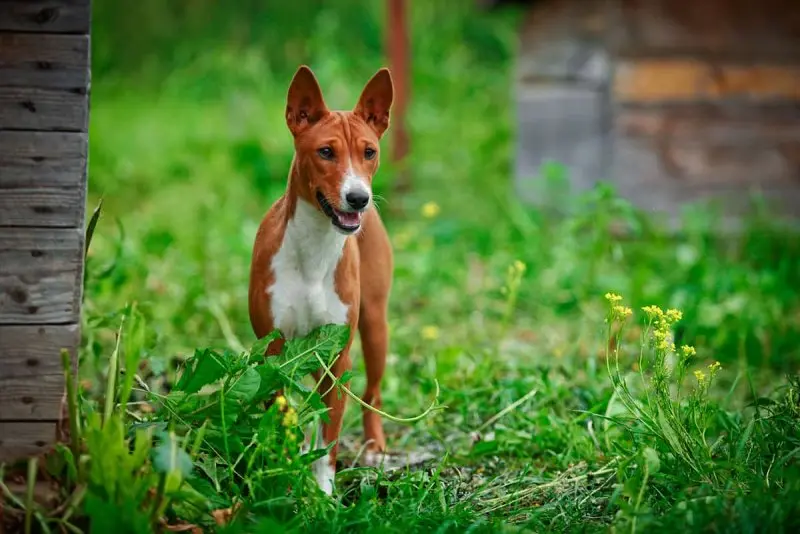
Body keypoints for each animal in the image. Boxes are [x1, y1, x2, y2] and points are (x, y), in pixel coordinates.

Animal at [245, 66, 392, 498]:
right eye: (326, 152)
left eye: (369, 152)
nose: (358, 198)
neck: (315, 251)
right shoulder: (274, 352)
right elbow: (282, 417)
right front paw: (281, 475)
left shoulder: (337, 357)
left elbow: (329, 440)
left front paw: (324, 495)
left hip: (374, 326)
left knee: (372, 392)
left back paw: (374, 448)